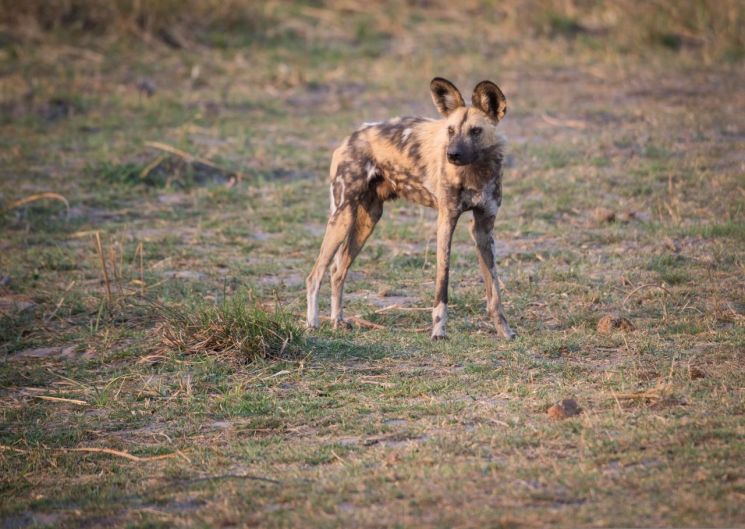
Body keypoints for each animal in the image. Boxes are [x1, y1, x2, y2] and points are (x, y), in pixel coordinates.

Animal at [306, 77, 516, 338]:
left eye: (475, 131)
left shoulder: (484, 228)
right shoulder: (446, 222)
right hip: (342, 217)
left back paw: (338, 320)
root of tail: (352, 136)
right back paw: (312, 323)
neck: (476, 172)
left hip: (367, 220)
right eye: (450, 130)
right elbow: (443, 283)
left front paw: (505, 331)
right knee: (315, 275)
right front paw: (438, 332)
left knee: (337, 271)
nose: (452, 155)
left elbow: (494, 291)